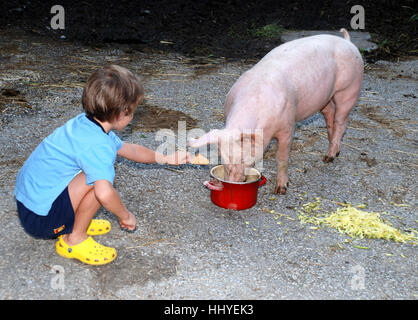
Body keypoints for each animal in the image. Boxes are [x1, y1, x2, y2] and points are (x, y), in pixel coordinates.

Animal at [189, 28, 362, 194]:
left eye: (244, 159)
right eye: (223, 158)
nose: (232, 182)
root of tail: (348, 42)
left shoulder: (288, 126)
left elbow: (282, 158)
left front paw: (281, 189)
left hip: (350, 89)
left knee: (341, 121)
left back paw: (329, 157)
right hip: (325, 97)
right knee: (329, 114)